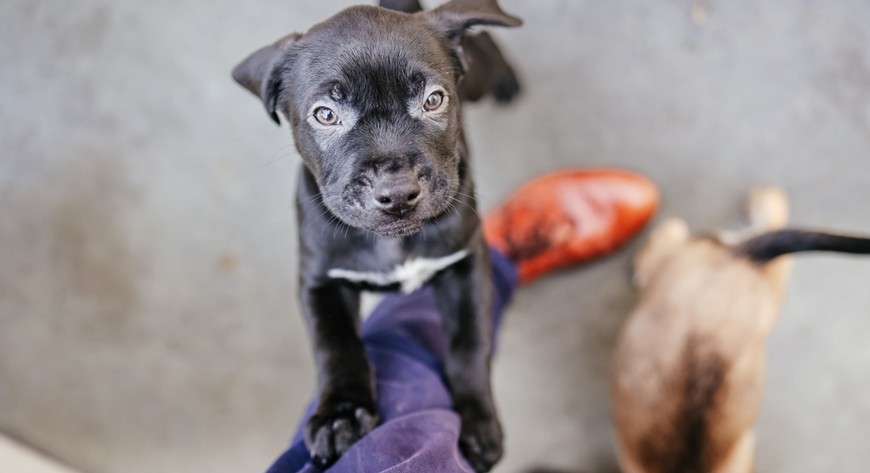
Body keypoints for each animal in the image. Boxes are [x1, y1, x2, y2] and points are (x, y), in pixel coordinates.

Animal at [230, 0, 524, 468]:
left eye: (434, 99)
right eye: (325, 114)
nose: (398, 192)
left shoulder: (467, 262)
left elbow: (469, 343)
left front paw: (478, 421)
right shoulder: (320, 282)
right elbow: (336, 345)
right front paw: (341, 415)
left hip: (476, 79)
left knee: (486, 49)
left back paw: (507, 77)